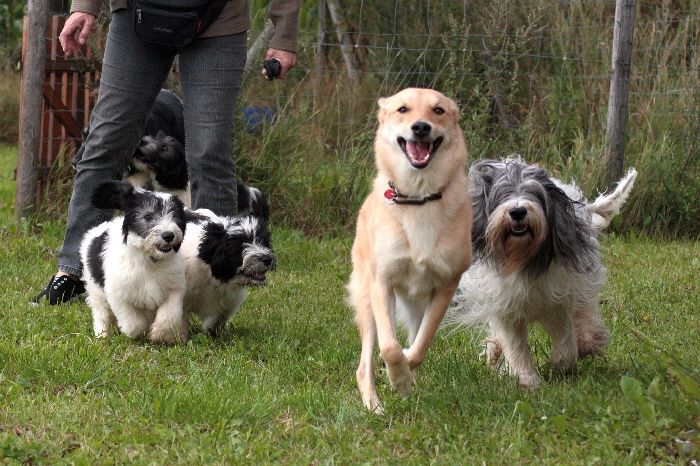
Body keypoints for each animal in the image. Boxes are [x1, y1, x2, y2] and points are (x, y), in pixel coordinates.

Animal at [80, 180, 189, 344]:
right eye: (148, 216)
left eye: (175, 216)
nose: (168, 235)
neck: (148, 258)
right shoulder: (118, 293)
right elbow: (133, 322)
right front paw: (139, 333)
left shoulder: (174, 289)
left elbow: (169, 314)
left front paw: (159, 334)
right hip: (95, 288)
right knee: (101, 311)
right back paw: (102, 336)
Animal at [348, 88, 474, 412]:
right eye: (402, 109)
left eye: (438, 111)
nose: (420, 127)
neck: (419, 196)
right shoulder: (382, 283)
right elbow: (389, 347)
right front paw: (399, 379)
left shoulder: (446, 285)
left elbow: (420, 346)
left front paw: (405, 376)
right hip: (367, 300)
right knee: (365, 364)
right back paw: (373, 404)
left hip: (419, 302)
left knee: (417, 337)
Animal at [452, 158, 636, 388]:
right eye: (502, 194)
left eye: (535, 193)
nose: (518, 212)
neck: (522, 258)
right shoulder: (505, 305)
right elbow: (515, 344)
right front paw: (526, 379)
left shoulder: (559, 298)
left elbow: (566, 339)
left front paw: (562, 363)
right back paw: (495, 349)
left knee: (585, 309)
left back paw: (588, 339)